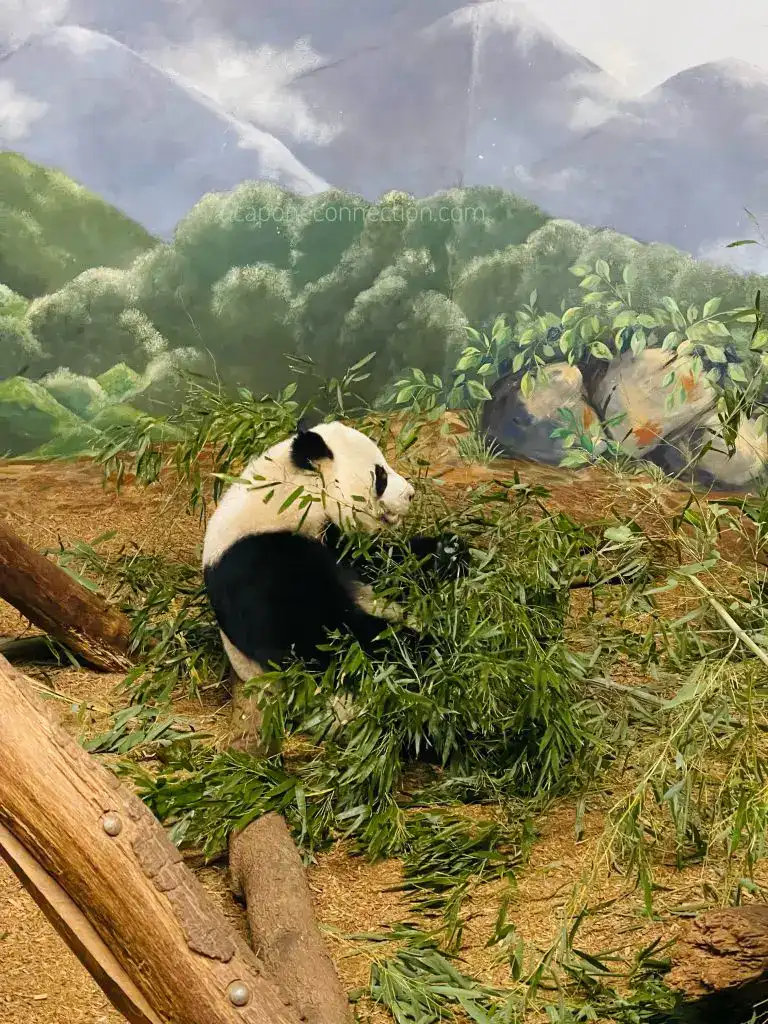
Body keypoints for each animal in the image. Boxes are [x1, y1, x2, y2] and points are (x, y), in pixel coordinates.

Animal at [202, 418, 469, 696]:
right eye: (381, 475)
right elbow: (322, 636)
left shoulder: (340, 541)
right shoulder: (258, 560)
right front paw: (429, 648)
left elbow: (383, 564)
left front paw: (448, 551)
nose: (410, 494)